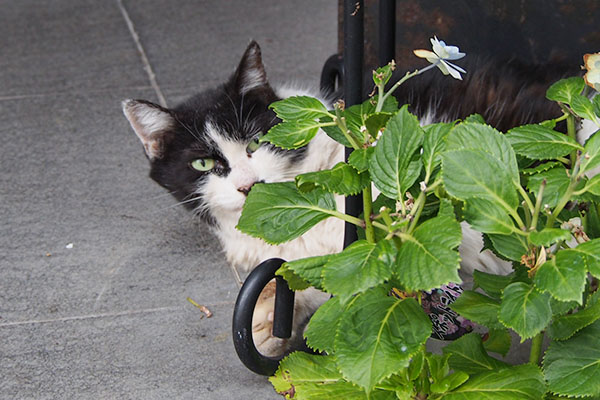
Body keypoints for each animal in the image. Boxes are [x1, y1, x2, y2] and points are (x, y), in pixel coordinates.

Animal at [123, 41, 596, 356]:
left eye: (256, 141)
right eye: (203, 164)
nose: (247, 185)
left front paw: (265, 320)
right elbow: (313, 276)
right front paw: (271, 316)